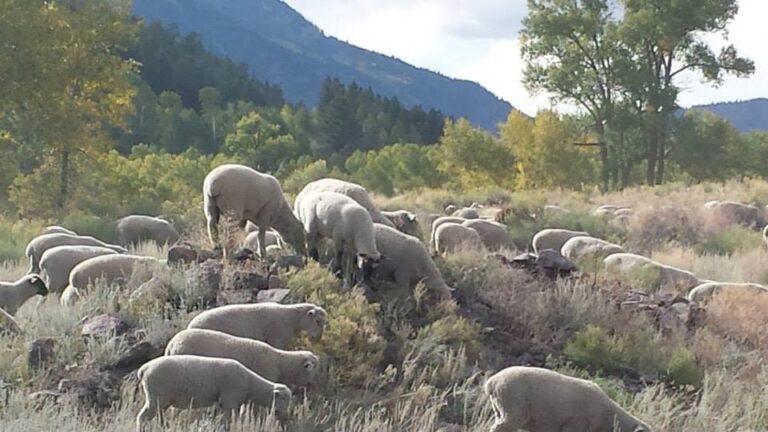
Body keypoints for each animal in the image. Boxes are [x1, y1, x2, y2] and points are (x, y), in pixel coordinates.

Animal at [136, 355, 292, 431]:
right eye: (284, 398)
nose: (285, 417)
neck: (250, 384)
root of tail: (144, 369)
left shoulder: (221, 402)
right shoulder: (230, 400)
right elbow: (229, 422)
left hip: (161, 400)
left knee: (158, 418)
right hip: (156, 397)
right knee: (142, 417)